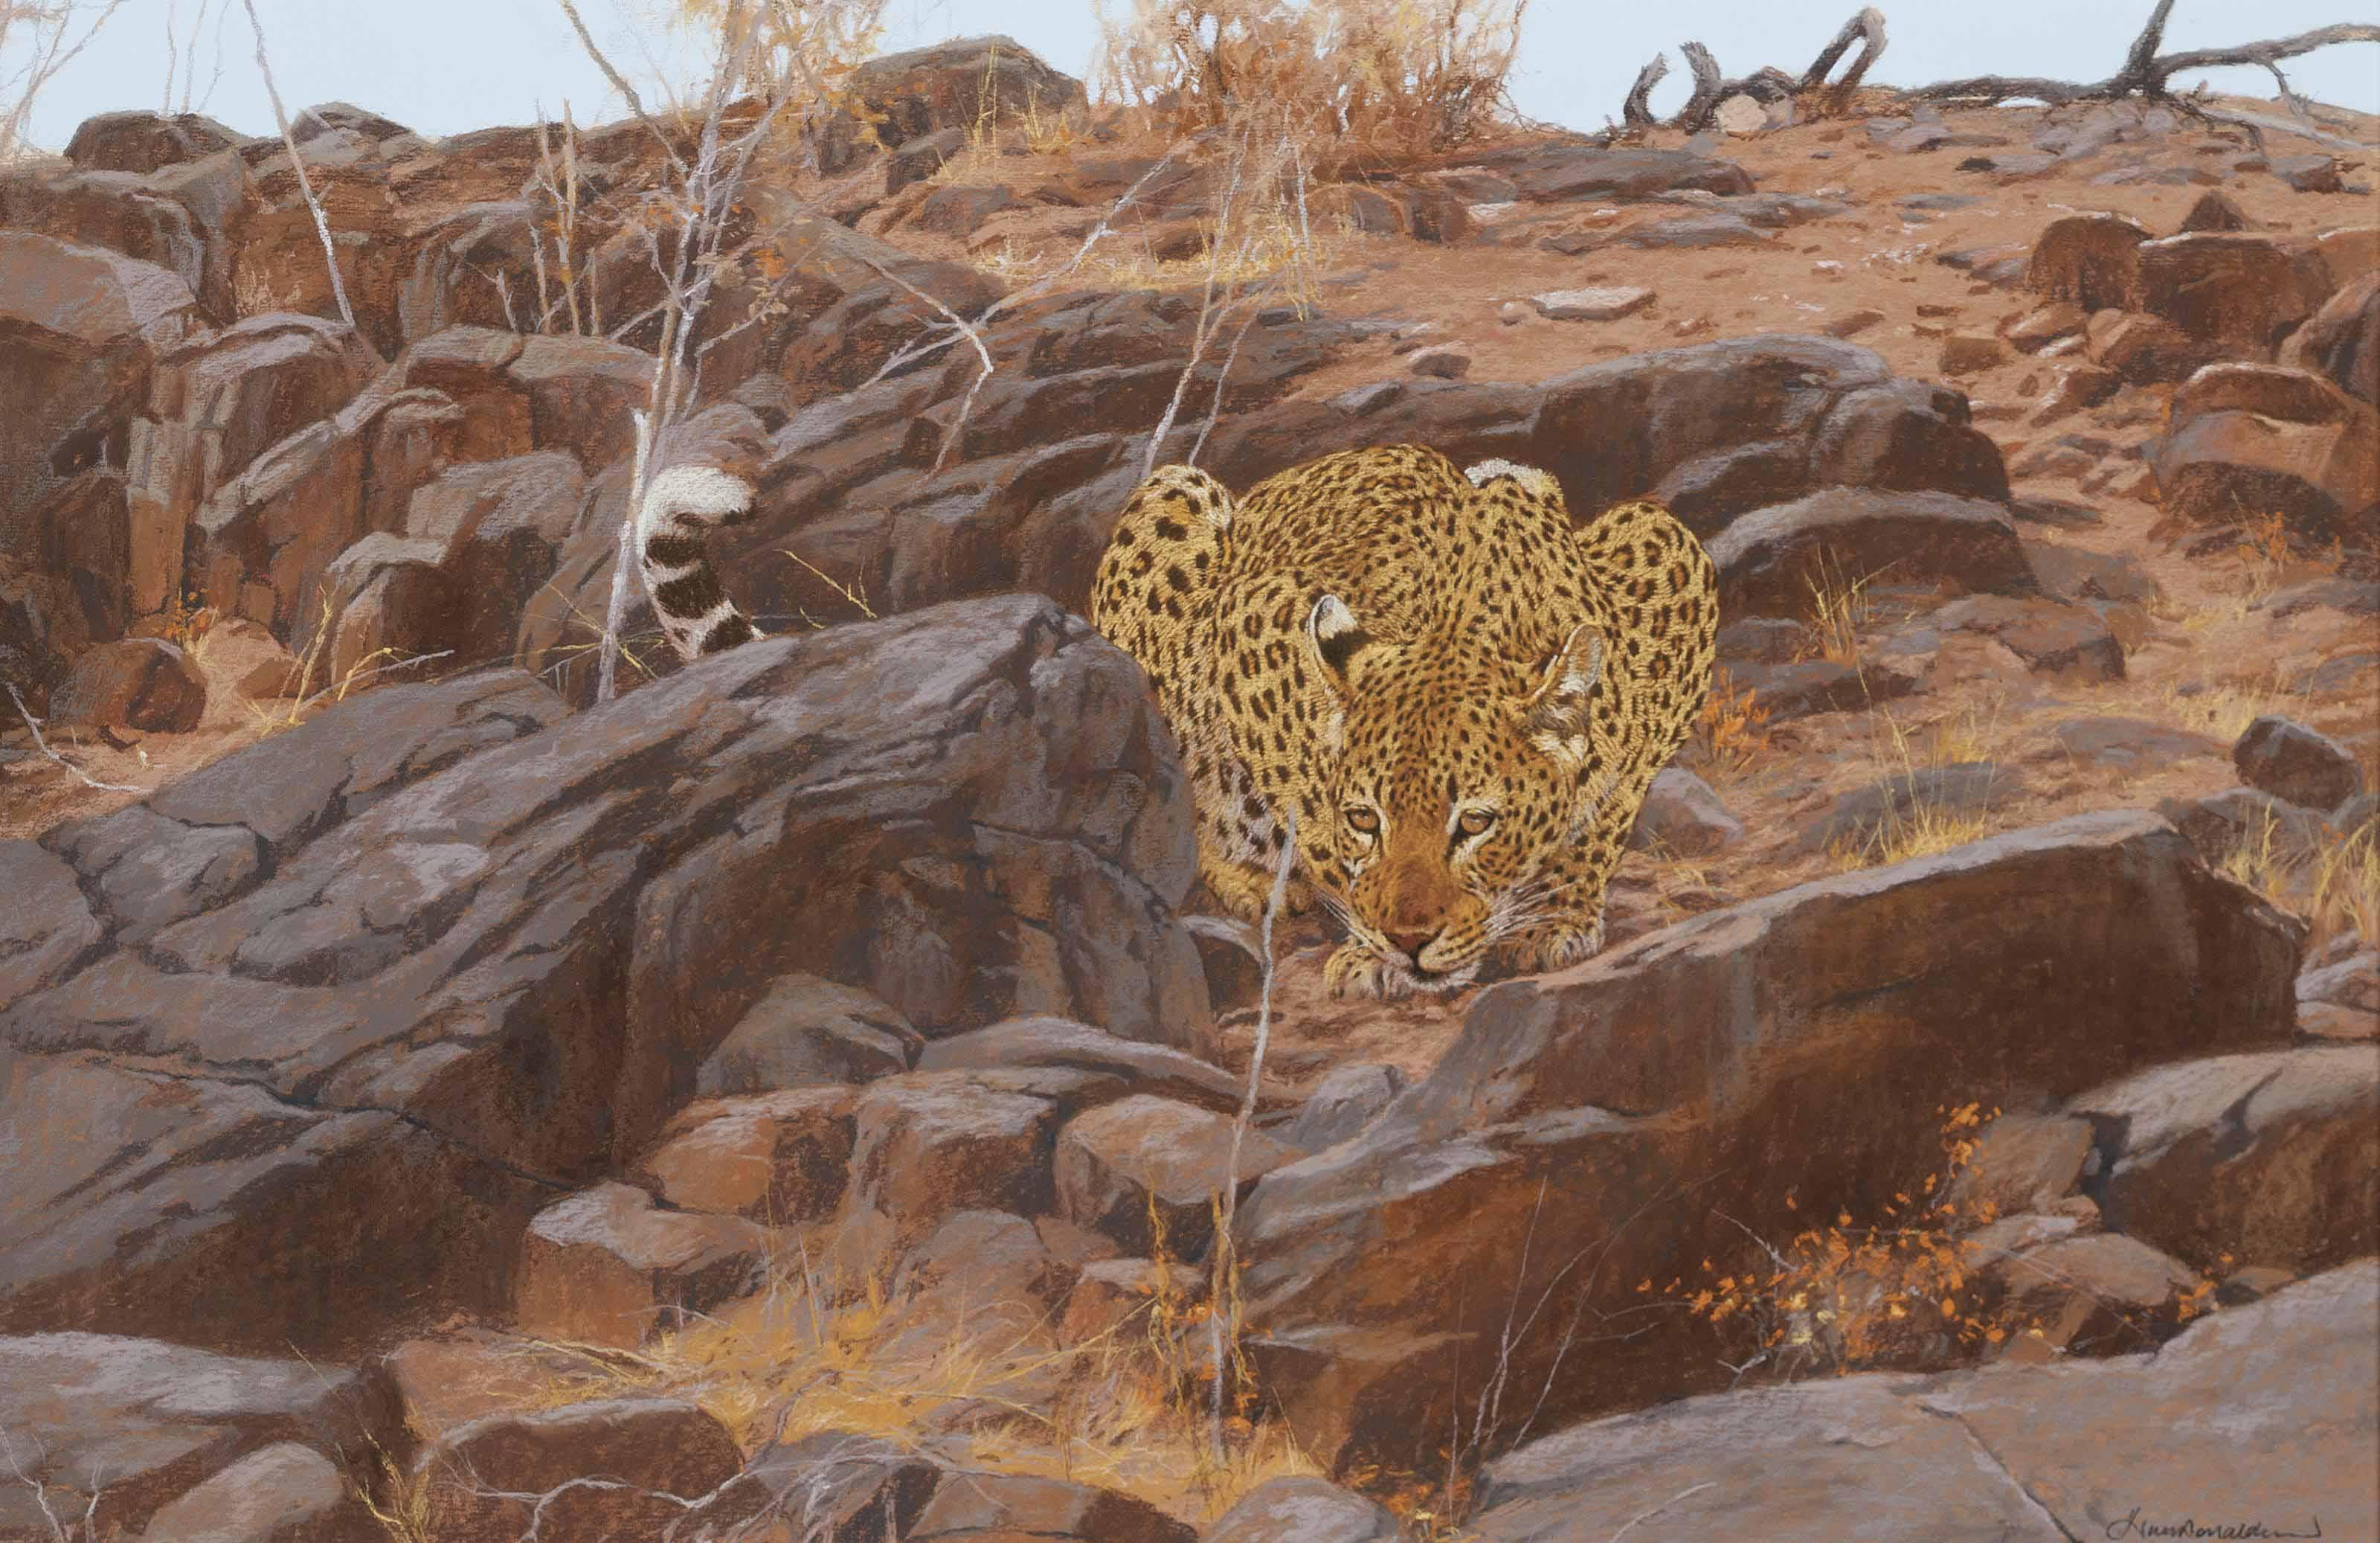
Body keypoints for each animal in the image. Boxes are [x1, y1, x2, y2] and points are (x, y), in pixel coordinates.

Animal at [1088, 444, 1717, 1000]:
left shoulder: (1668, 555)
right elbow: (1312, 812)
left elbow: (1612, 805)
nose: (1409, 941)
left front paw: (1555, 916)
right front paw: (1369, 944)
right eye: (1365, 819)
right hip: (1176, 492)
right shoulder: (1257, 615)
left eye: (1476, 823)